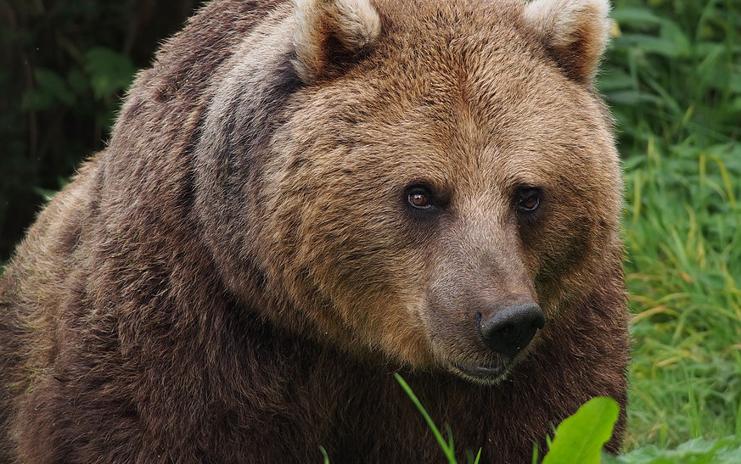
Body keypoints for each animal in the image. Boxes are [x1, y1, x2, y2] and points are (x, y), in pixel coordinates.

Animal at [0, 0, 629, 462]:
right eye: (421, 193)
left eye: (528, 194)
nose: (504, 322)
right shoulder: (185, 320)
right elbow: (150, 428)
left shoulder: (561, 334)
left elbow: (544, 425)